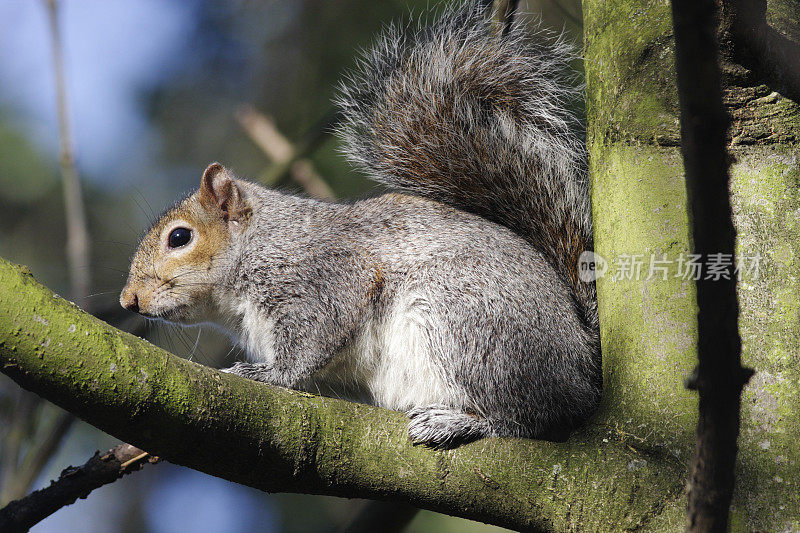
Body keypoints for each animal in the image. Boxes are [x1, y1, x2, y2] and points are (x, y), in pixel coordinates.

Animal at [120, 2, 600, 446]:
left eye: (180, 237)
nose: (129, 300)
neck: (259, 244)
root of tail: (583, 367)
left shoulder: (323, 275)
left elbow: (316, 336)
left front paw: (268, 375)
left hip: (472, 330)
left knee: (532, 417)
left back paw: (458, 421)